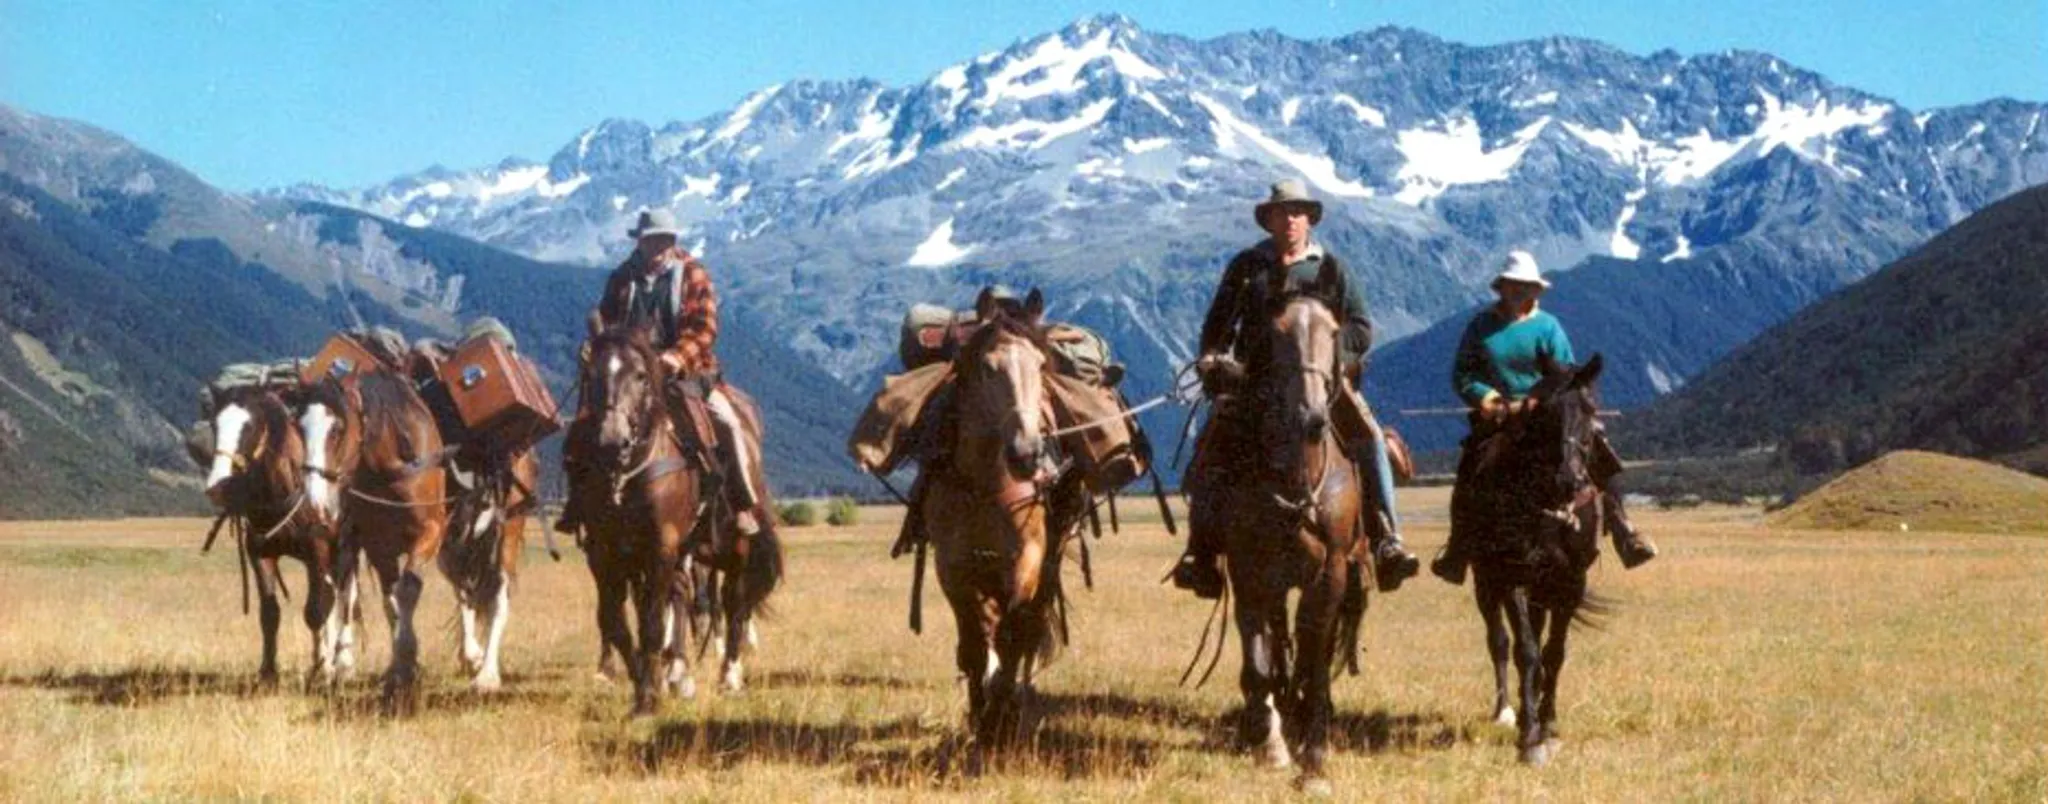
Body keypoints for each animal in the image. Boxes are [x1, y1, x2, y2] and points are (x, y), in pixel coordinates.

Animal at [198, 385, 359, 688]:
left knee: (345, 595)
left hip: (347, 547)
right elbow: (270, 614)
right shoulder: (261, 554)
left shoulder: (318, 550)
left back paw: (343, 661)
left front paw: (321, 668)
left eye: (249, 426)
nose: (218, 487)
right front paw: (268, 673)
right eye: (214, 424)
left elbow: (316, 610)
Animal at [299, 368, 448, 709]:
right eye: (299, 428)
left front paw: (406, 665)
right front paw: (399, 672)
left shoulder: (431, 533)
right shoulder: (379, 548)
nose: (315, 504)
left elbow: (406, 591)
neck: (393, 469)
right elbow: (390, 604)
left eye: (337, 429)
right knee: (346, 594)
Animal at [922, 287, 1072, 749]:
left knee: (1024, 634)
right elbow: (973, 645)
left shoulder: (1027, 562)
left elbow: (1011, 639)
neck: (988, 485)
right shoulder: (953, 568)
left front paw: (999, 719)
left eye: (1041, 365)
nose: (1027, 454)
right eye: (989, 369)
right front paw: (980, 715)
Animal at [1203, 294, 1369, 791]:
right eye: (1274, 335)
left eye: (1333, 332)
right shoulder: (1249, 570)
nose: (1310, 416)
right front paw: (1270, 744)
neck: (1297, 479)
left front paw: (1314, 758)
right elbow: (1257, 660)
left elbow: (1314, 658)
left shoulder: (1330, 573)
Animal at [1461, 354, 1608, 766]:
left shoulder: (1571, 583)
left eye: (1590, 409)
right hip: (1486, 581)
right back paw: (1505, 712)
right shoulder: (1514, 578)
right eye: (1544, 412)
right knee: (1498, 641)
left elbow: (1554, 653)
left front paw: (1550, 725)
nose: (1569, 480)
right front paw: (1529, 736)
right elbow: (1525, 651)